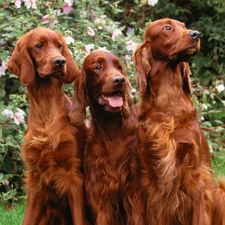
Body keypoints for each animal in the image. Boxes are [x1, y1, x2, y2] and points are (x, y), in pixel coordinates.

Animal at [7, 27, 87, 224]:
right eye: (39, 45)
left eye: (59, 46)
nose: (60, 61)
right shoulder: (36, 178)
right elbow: (27, 219)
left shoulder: (73, 176)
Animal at [69, 49, 145, 225]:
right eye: (98, 67)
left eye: (118, 66)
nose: (119, 80)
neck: (111, 131)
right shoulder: (99, 193)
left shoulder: (134, 192)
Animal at [134, 18, 225, 224]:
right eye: (167, 28)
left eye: (183, 26)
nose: (196, 34)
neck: (167, 101)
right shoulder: (153, 182)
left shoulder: (196, 178)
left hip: (220, 192)